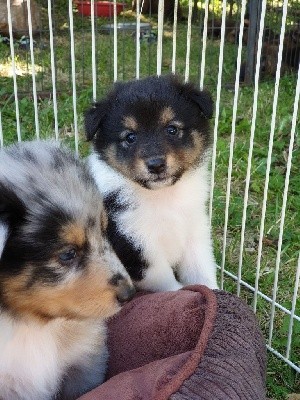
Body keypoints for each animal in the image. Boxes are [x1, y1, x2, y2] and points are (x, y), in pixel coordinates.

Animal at [84, 75, 218, 292]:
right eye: (130, 137)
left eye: (172, 129)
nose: (156, 165)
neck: (163, 195)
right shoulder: (135, 247)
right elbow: (168, 284)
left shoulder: (194, 231)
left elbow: (202, 272)